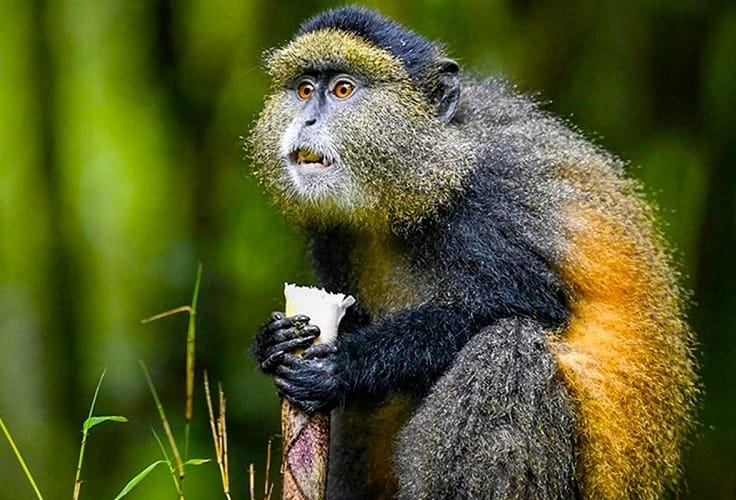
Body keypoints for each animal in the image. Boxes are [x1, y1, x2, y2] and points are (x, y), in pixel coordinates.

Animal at [248, 6, 699, 499]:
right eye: (304, 89)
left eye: (343, 89)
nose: (306, 121)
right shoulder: (331, 234)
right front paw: (272, 341)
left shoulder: (489, 198)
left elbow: (532, 303)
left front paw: (343, 365)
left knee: (510, 345)